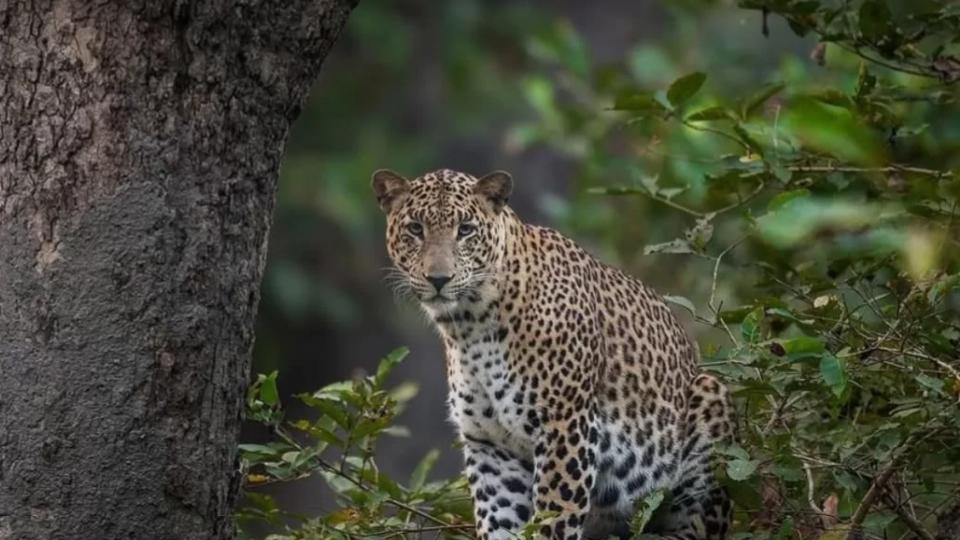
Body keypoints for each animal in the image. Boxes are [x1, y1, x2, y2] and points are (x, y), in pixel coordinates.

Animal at [372, 168, 734, 540]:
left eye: (466, 230)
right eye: (416, 229)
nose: (438, 279)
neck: (470, 327)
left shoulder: (566, 426)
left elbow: (555, 515)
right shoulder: (489, 446)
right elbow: (499, 520)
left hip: (709, 408)